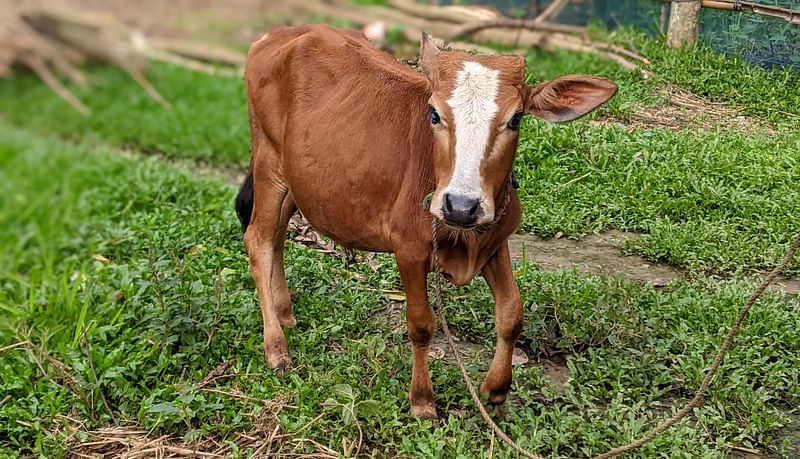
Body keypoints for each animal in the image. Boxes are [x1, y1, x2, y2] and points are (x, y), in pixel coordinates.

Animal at [234, 26, 616, 420]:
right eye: (434, 114)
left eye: (516, 119)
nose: (461, 206)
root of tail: (281, 34)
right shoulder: (409, 250)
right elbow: (420, 324)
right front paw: (421, 400)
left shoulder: (495, 242)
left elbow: (512, 313)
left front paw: (496, 389)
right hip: (269, 164)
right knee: (259, 240)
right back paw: (276, 346)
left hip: (296, 181)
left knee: (278, 237)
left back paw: (285, 313)